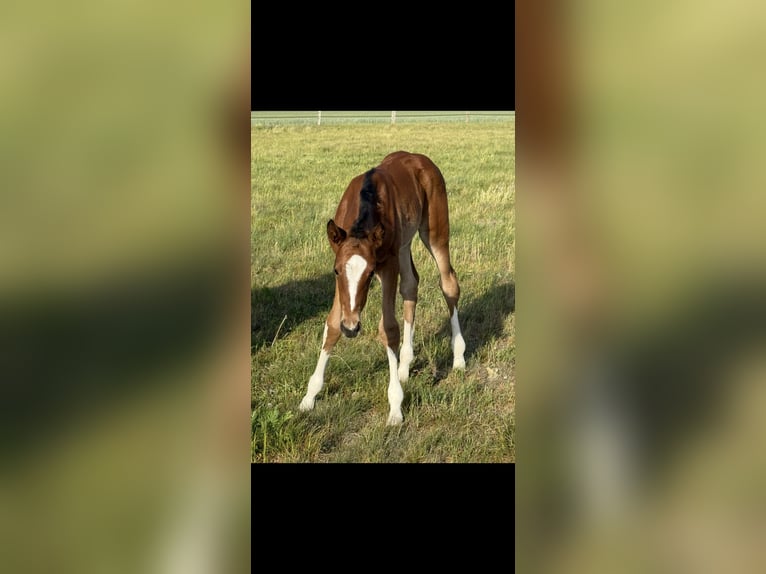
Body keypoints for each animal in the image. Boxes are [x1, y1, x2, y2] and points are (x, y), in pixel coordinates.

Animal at [298, 151, 466, 425]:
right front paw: (309, 397)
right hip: (404, 245)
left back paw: (459, 357)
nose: (352, 328)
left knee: (448, 283)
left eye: (369, 274)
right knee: (411, 285)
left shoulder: (387, 265)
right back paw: (404, 366)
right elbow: (332, 324)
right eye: (336, 271)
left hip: (434, 232)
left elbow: (388, 329)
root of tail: (420, 159)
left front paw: (395, 407)